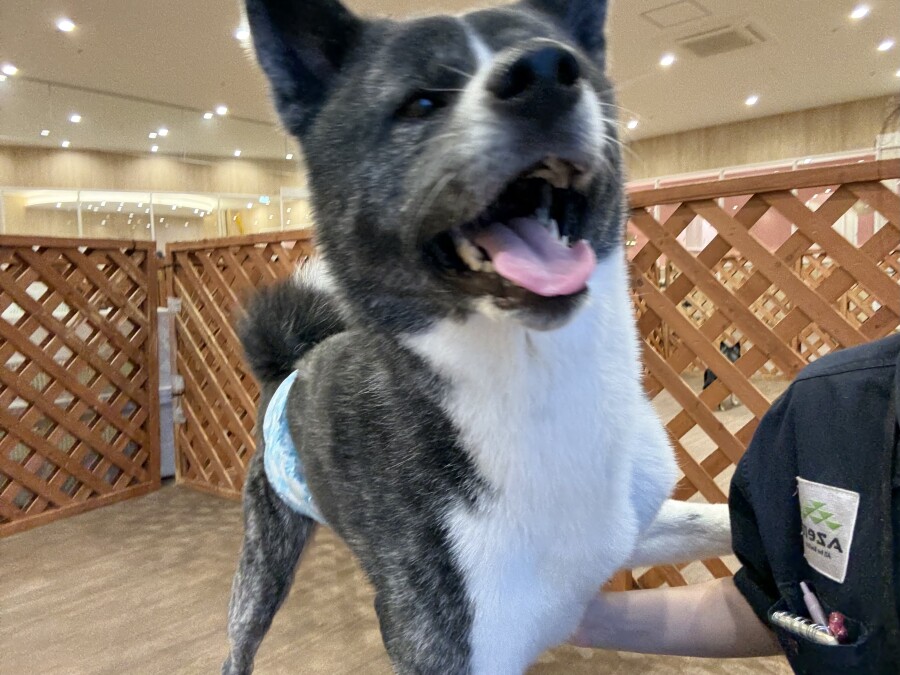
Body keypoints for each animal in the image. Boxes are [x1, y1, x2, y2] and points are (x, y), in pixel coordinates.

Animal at [223, 1, 733, 673]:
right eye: (419, 102)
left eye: (573, 62)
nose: (544, 73)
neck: (540, 379)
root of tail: (288, 367)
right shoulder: (448, 643)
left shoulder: (629, 529)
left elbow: (715, 520)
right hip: (264, 560)